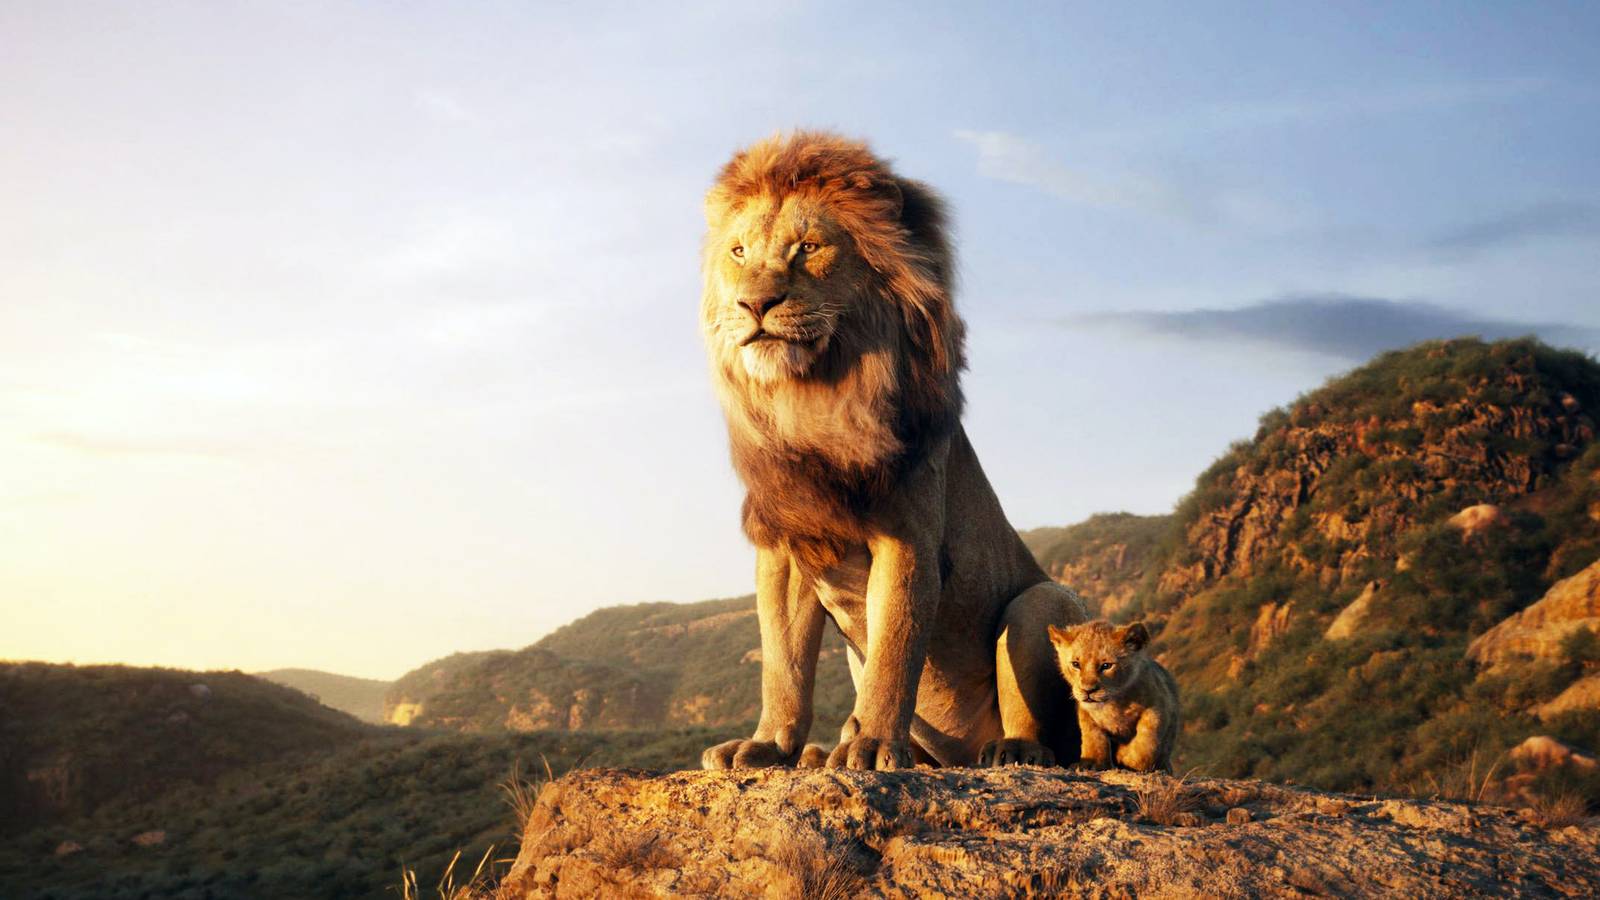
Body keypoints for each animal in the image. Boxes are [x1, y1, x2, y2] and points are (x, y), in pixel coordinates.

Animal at [696, 131, 1089, 771]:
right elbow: (783, 663)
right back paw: (819, 753)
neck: (814, 400)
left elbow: (894, 649)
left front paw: (873, 745)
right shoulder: (787, 544)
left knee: (1046, 731)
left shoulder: (908, 538)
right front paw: (768, 745)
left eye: (808, 247)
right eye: (738, 252)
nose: (754, 305)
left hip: (1041, 602)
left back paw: (1010, 750)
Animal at [1048, 620, 1179, 773]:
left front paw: (1127, 757)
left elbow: (1147, 740)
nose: (1088, 690)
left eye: (1106, 666)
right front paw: (1092, 764)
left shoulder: (1158, 706)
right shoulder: (1086, 714)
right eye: (1076, 664)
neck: (1114, 703)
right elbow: (1093, 737)